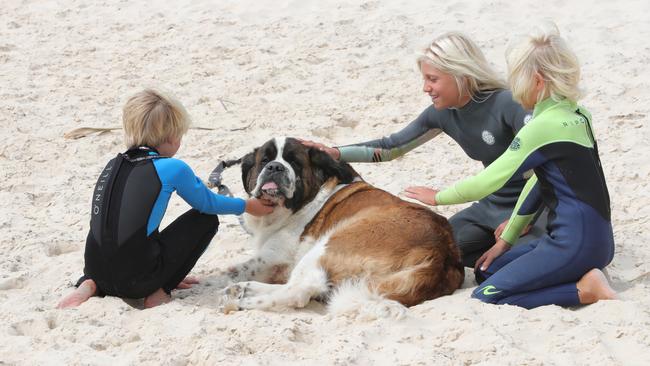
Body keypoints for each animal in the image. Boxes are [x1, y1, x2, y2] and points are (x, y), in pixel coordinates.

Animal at [215, 139, 464, 316]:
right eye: (264, 160)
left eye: (294, 162)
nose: (275, 167)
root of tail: (442, 253)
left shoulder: (272, 257)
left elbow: (229, 271)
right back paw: (240, 289)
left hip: (330, 243)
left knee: (300, 290)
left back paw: (244, 300)